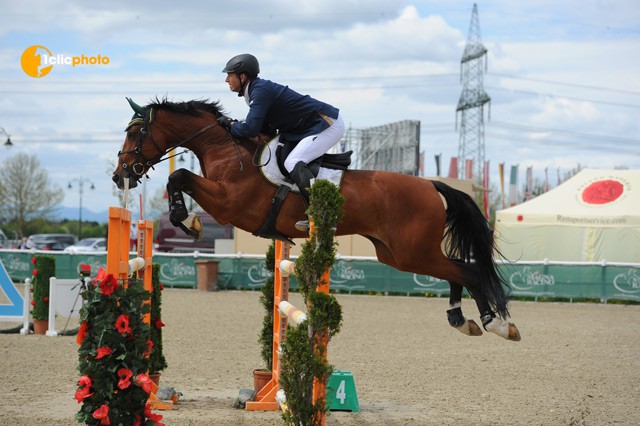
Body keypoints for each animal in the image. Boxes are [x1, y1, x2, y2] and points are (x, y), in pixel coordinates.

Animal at [111, 98, 520, 342]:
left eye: (135, 131)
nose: (120, 175)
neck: (225, 149)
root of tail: (430, 185)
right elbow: (179, 179)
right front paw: (188, 221)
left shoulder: (229, 204)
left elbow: (179, 176)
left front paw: (187, 220)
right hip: (397, 254)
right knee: (457, 271)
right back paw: (463, 320)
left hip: (412, 251)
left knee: (466, 271)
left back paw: (497, 324)